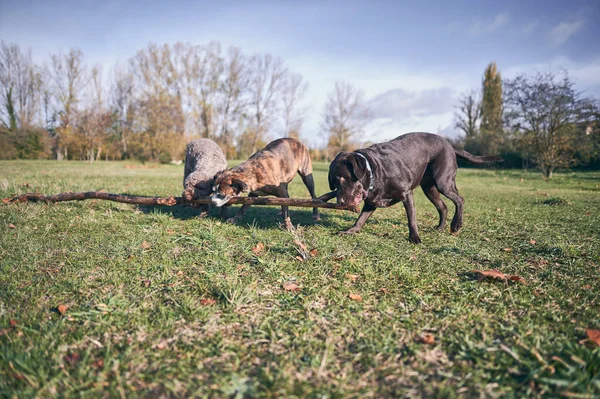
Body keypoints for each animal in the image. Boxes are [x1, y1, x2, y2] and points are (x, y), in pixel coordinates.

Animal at [324, 133, 502, 244]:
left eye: (343, 177)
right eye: (333, 182)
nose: (340, 202)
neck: (375, 170)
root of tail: (450, 144)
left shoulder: (407, 194)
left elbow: (412, 219)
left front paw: (414, 238)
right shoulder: (371, 203)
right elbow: (360, 220)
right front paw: (350, 231)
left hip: (443, 182)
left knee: (460, 200)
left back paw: (456, 224)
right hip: (429, 189)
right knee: (443, 207)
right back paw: (440, 227)